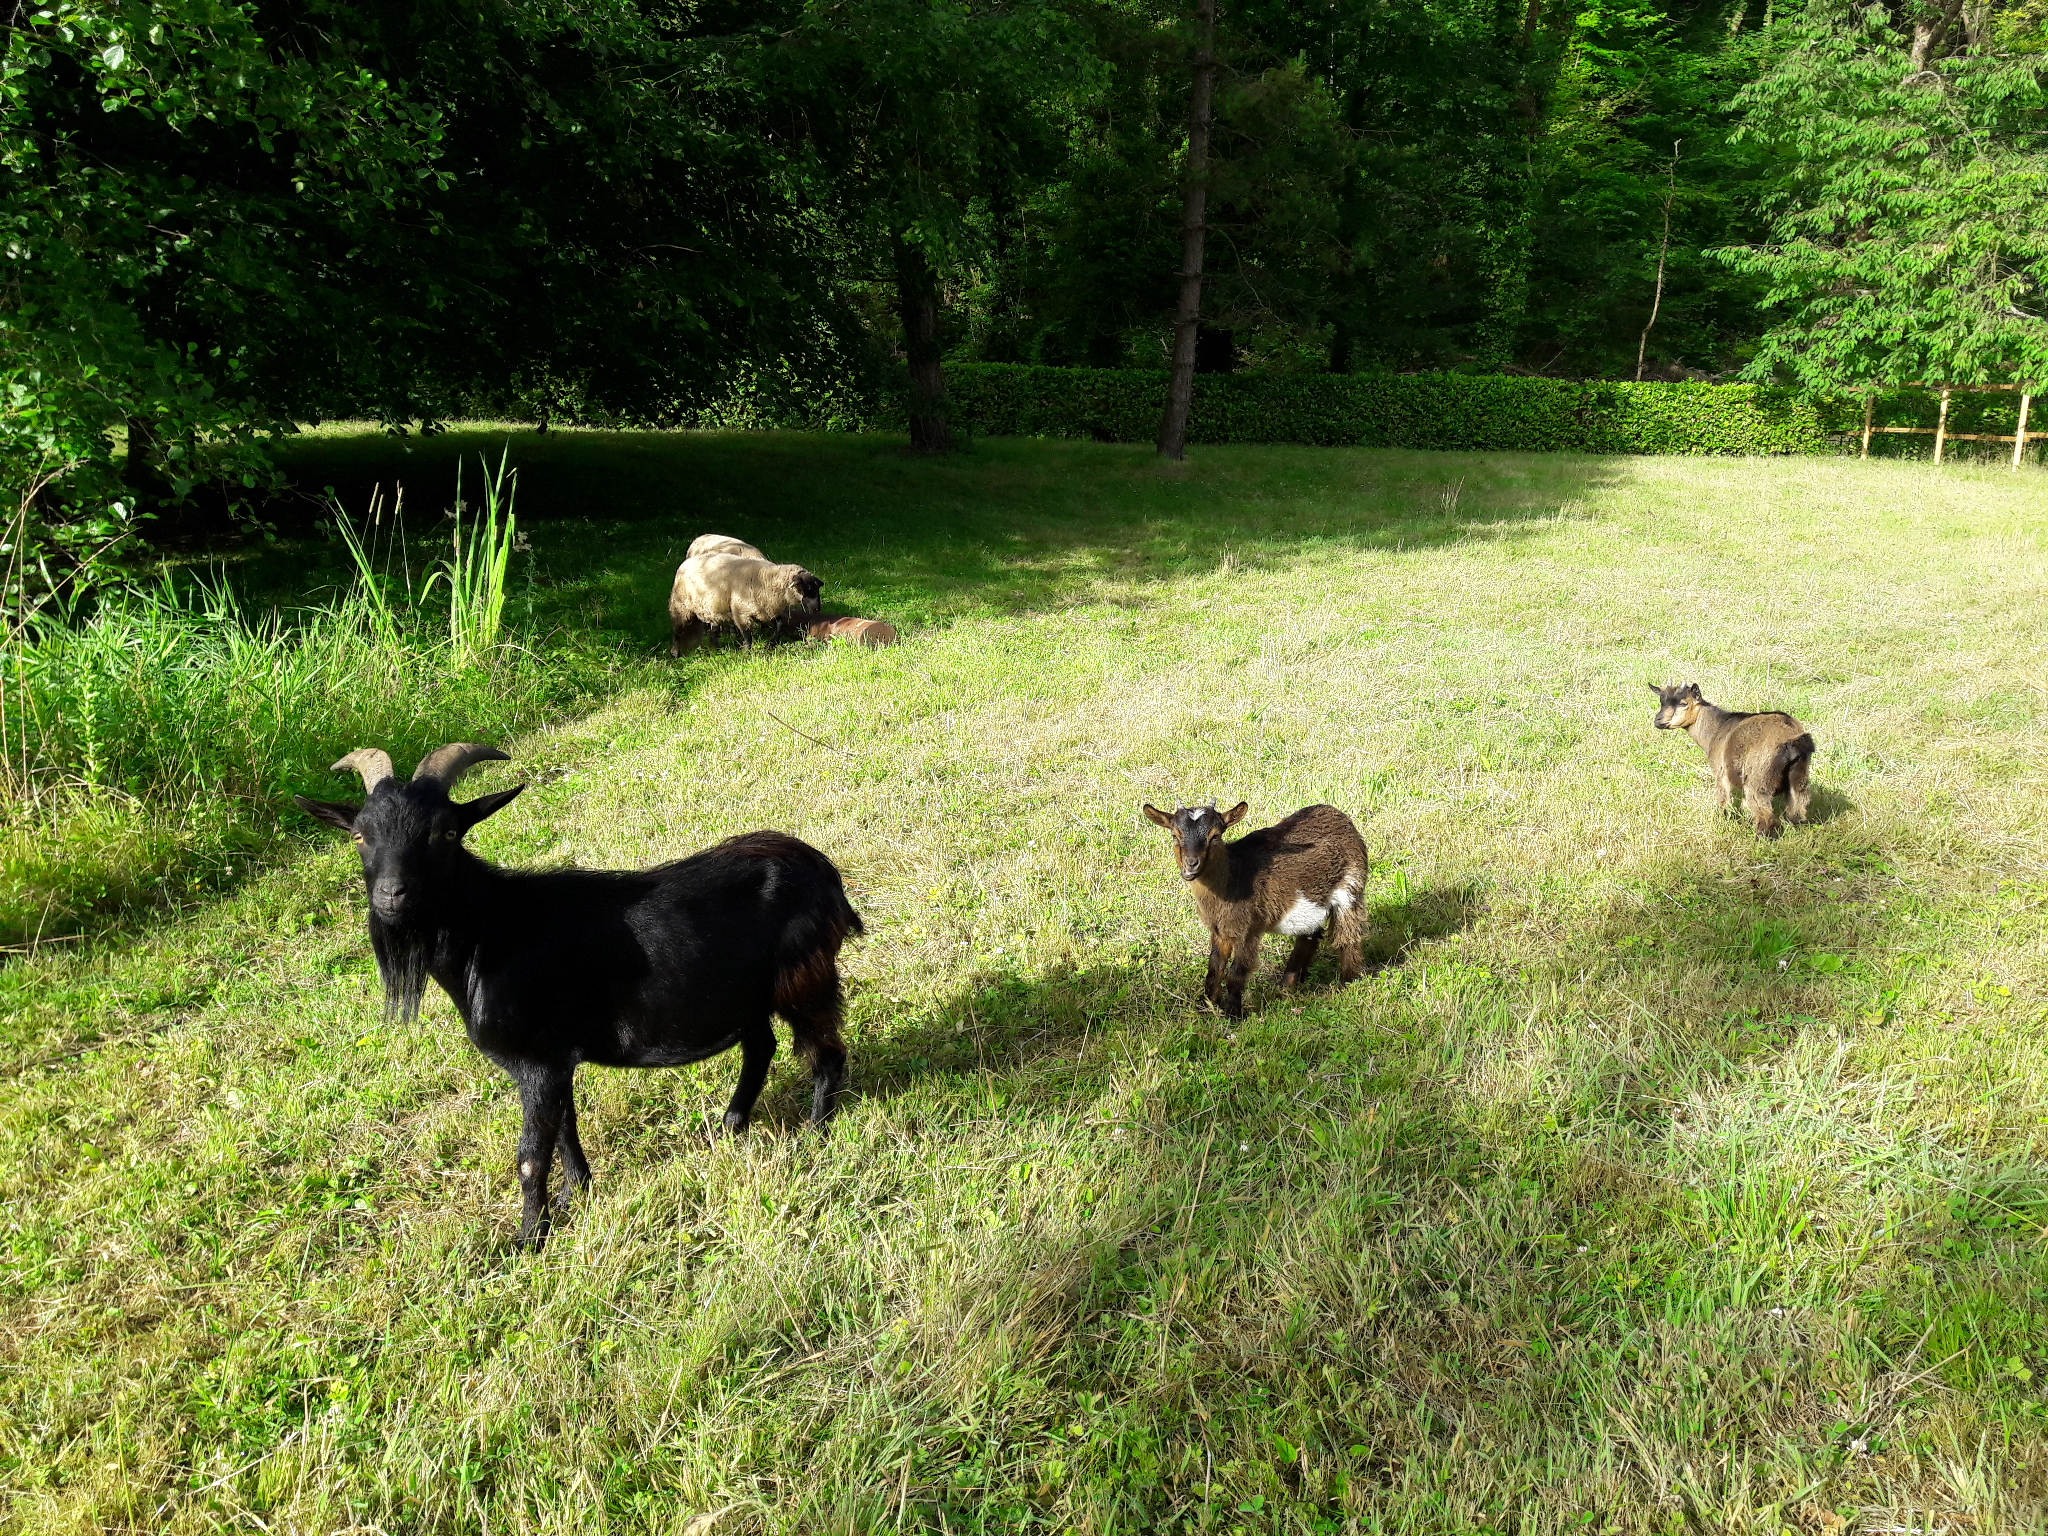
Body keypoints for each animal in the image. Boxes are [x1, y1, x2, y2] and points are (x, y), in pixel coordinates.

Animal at [297, 742, 863, 1249]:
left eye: (447, 832)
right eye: (359, 835)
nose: (393, 895)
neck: (494, 932)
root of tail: (825, 873)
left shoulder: (537, 1059)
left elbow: (531, 1153)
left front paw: (529, 1238)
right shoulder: (554, 1055)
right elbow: (565, 1127)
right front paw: (578, 1194)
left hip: (804, 979)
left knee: (827, 1053)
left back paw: (814, 1137)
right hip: (746, 994)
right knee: (761, 1046)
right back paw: (731, 1126)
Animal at [669, 552, 824, 655]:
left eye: (817, 589)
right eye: (807, 589)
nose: (817, 609)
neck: (766, 579)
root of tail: (685, 562)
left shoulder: (766, 610)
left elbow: (779, 625)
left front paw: (772, 642)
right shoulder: (741, 612)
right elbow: (747, 634)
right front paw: (746, 652)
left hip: (712, 609)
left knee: (713, 632)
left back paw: (717, 651)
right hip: (681, 607)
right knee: (677, 632)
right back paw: (675, 653)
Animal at [1142, 799, 1368, 1020]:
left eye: (1215, 836)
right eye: (1175, 835)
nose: (1191, 865)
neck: (1235, 877)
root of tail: (1338, 814)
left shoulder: (1248, 928)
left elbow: (1237, 972)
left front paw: (1233, 1015)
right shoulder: (1220, 929)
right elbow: (1214, 968)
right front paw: (1206, 1007)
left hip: (1350, 886)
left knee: (1348, 936)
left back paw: (1348, 982)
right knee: (1310, 936)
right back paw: (1287, 985)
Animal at [1651, 682, 1814, 835]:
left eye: (1683, 703)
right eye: (1662, 701)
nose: (1658, 721)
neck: (1717, 729)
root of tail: (1794, 740)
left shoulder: (1720, 771)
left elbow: (1723, 800)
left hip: (1758, 775)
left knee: (1764, 812)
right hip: (1799, 773)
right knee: (1798, 806)